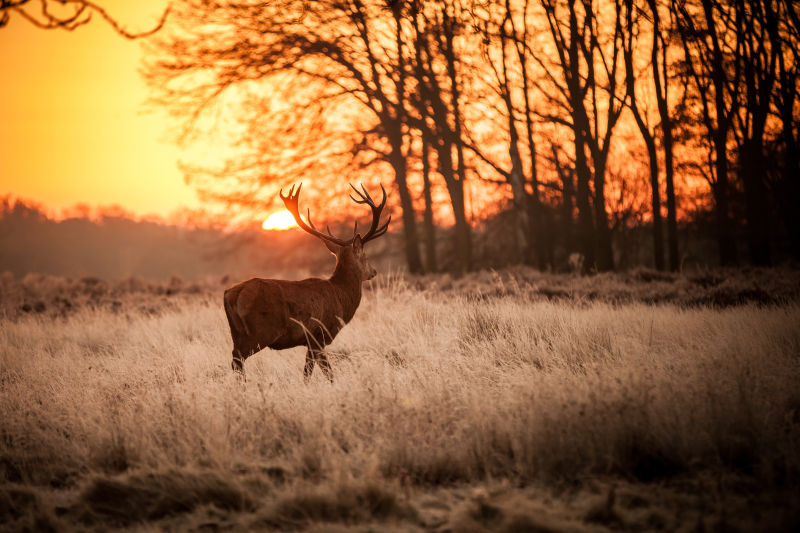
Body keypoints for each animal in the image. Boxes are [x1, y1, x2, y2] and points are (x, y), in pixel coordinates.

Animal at [222, 182, 390, 378]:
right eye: (365, 256)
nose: (374, 271)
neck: (341, 296)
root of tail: (231, 294)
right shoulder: (319, 334)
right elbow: (325, 372)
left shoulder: (311, 340)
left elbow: (309, 372)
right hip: (262, 330)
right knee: (237, 358)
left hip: (236, 330)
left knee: (235, 357)